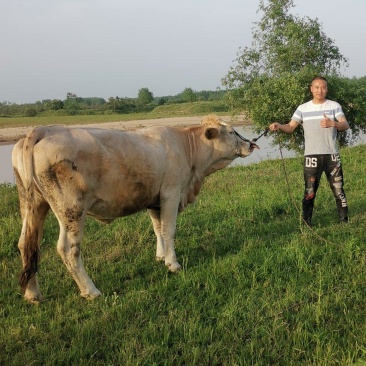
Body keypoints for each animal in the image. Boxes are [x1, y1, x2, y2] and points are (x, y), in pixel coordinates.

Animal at [12, 115, 258, 304]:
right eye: (232, 132)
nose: (251, 144)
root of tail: (45, 129)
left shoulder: (154, 199)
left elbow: (158, 229)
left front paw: (160, 256)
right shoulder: (171, 194)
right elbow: (169, 230)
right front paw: (173, 264)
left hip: (32, 204)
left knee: (27, 244)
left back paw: (32, 294)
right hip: (71, 209)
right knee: (68, 249)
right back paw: (91, 291)